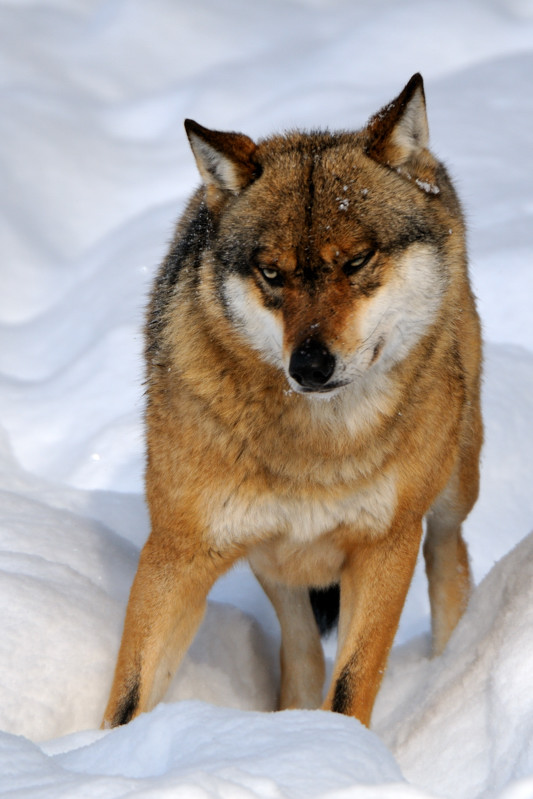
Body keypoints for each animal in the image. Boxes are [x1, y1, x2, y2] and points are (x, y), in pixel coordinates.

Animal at [102, 74, 482, 729]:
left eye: (356, 261)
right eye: (272, 274)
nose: (308, 366)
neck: (317, 449)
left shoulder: (386, 546)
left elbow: (353, 687)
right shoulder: (178, 551)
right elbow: (128, 697)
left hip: (452, 489)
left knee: (450, 561)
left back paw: (449, 664)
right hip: (272, 557)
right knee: (301, 649)